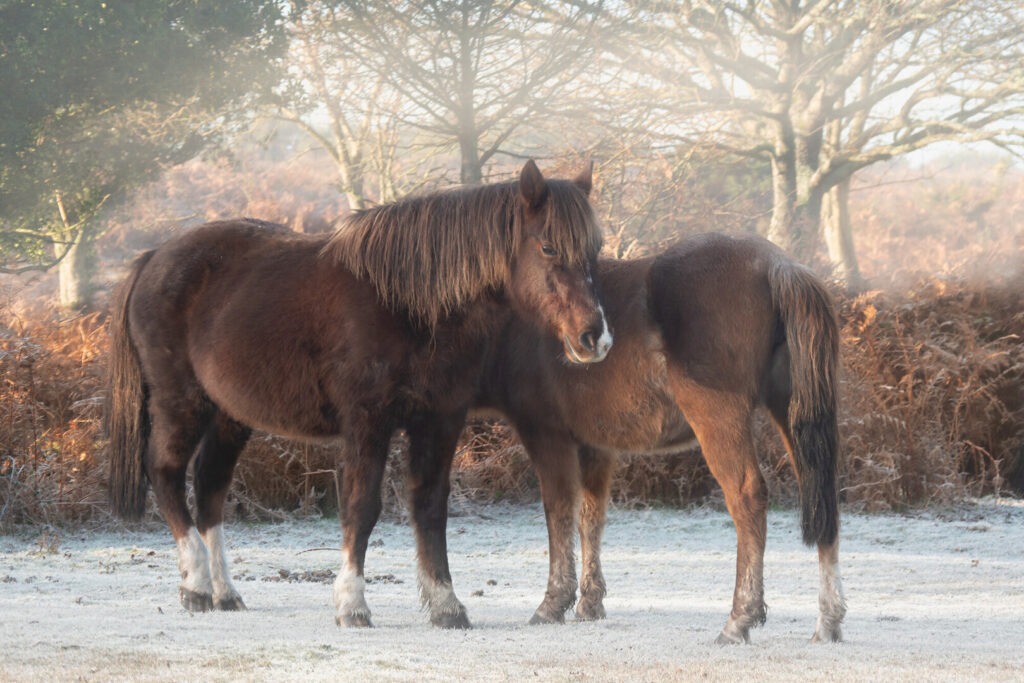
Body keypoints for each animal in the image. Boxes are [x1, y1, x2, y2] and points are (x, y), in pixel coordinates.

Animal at [106, 160, 613, 629]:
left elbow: (430, 507)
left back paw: (224, 593)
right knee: (166, 474)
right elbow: (361, 508)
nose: (595, 338)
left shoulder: (440, 419)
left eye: (595, 250)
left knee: (210, 487)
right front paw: (352, 605)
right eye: (547, 246)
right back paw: (194, 586)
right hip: (181, 403)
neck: (408, 304)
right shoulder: (367, 422)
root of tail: (154, 257)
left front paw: (446, 606)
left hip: (229, 416)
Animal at [472, 232, 846, 643]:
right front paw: (589, 604)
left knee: (747, 497)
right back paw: (828, 621)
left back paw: (740, 619)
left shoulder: (547, 437)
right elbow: (591, 517)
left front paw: (553, 603)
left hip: (719, 419)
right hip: (794, 417)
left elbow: (559, 515)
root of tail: (778, 265)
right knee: (822, 495)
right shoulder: (594, 447)